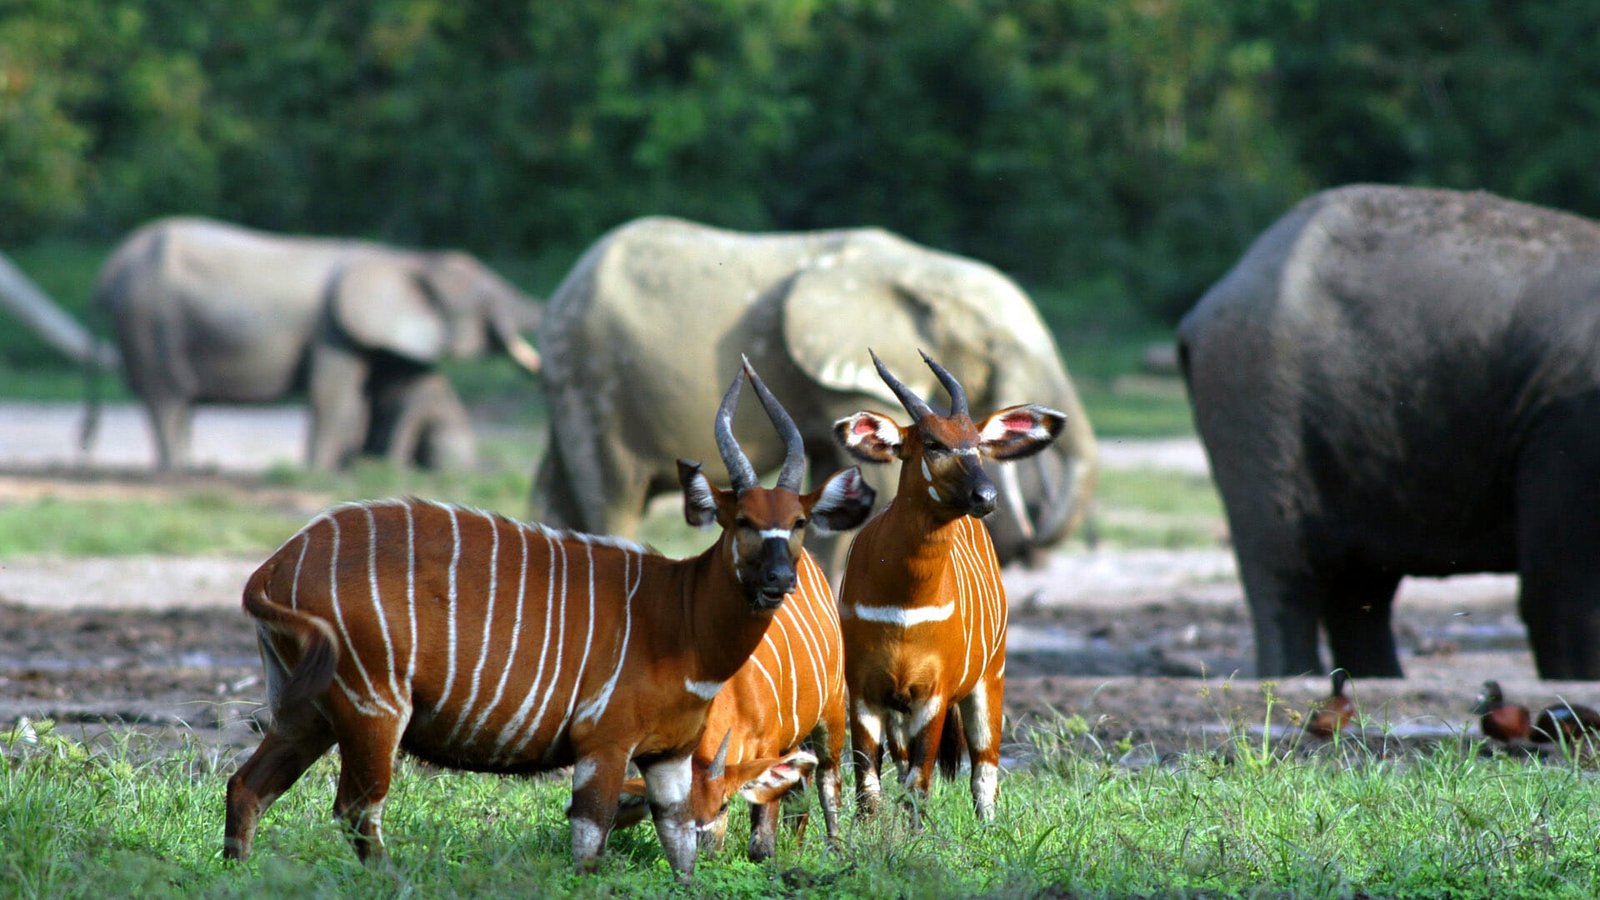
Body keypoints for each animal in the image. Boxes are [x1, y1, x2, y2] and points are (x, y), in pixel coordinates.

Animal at [93, 217, 544, 470]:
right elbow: (334, 396)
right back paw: (178, 471)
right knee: (166, 399)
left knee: (178, 403)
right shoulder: (333, 330)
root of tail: (110, 268)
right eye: (487, 298)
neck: (402, 259)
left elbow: (361, 396)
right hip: (147, 322)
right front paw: (321, 470)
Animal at [222, 358, 876, 877]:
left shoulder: (668, 756)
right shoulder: (604, 744)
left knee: (246, 786)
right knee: (357, 810)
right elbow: (589, 847)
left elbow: (680, 853)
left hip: (308, 712)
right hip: (372, 709)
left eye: (797, 522)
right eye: (742, 520)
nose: (779, 580)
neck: (679, 614)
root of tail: (275, 566)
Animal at [531, 216, 1094, 566]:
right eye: (995, 347)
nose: (1030, 541)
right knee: (612, 496)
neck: (919, 268)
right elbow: (876, 482)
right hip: (591, 381)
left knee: (559, 496)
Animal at [838, 349, 1062, 819]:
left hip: (989, 679)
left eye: (976, 443)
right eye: (933, 444)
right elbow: (869, 787)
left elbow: (919, 784)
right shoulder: (864, 691)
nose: (986, 497)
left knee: (985, 768)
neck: (904, 603)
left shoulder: (934, 694)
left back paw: (987, 827)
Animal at [1177, 182, 1600, 675]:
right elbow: (1562, 586)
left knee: (1359, 587)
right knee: (1287, 571)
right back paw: (1296, 677)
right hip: (1256, 402)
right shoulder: (1568, 424)